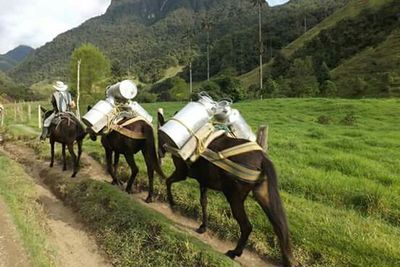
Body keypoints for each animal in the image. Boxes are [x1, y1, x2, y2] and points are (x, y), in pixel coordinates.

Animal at [158, 112, 292, 266]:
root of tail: (262, 158)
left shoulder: (181, 172)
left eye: (159, 134)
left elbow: (168, 181)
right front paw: (203, 227)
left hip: (234, 198)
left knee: (247, 226)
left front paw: (172, 203)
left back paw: (234, 252)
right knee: (279, 227)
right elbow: (203, 202)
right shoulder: (203, 181)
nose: (160, 154)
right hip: (263, 195)